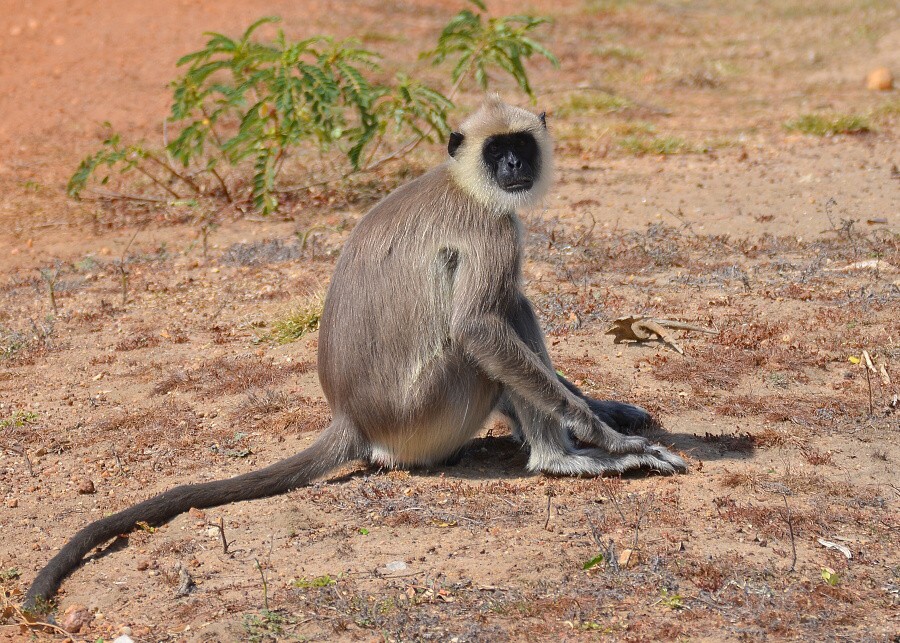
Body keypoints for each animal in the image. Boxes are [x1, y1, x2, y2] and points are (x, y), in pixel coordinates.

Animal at [24, 97, 684, 612]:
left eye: (520, 145)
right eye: (498, 152)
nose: (516, 165)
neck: (461, 180)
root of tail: (353, 418)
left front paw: (608, 409)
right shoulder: (489, 226)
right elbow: (478, 326)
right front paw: (607, 437)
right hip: (434, 408)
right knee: (499, 315)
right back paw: (563, 459)